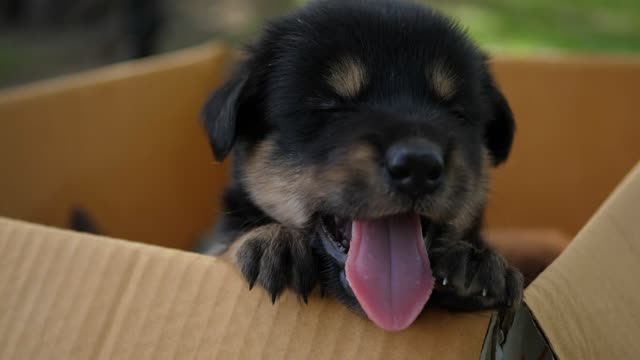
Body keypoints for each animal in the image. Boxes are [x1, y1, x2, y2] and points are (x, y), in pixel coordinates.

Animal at [199, 0, 520, 332]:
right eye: (331, 106)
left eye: (456, 113)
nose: (418, 165)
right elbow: (224, 246)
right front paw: (276, 240)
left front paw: (476, 262)